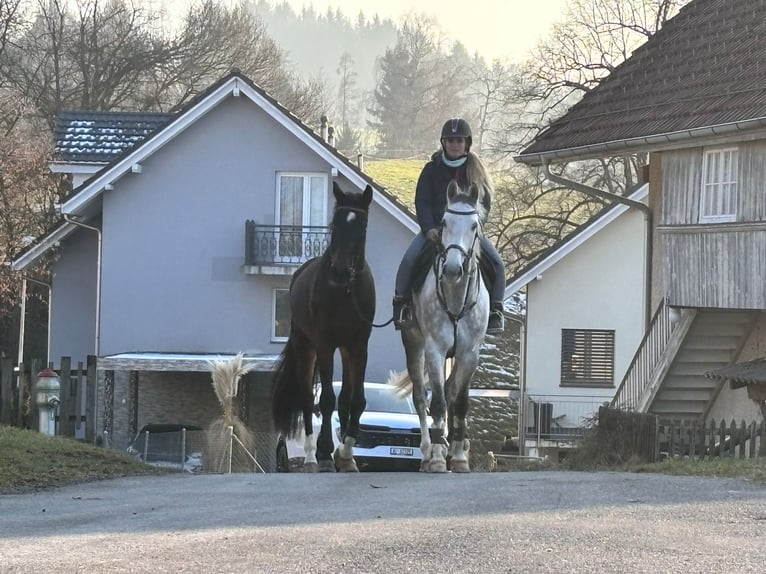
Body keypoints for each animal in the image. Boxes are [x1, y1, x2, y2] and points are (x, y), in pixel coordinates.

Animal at [272, 183, 376, 472]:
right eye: (335, 223)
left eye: (362, 225)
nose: (339, 270)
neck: (346, 291)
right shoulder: (325, 344)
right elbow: (326, 400)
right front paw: (326, 453)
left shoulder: (357, 346)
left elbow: (355, 400)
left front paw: (347, 454)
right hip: (305, 346)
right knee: (308, 398)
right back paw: (310, 455)